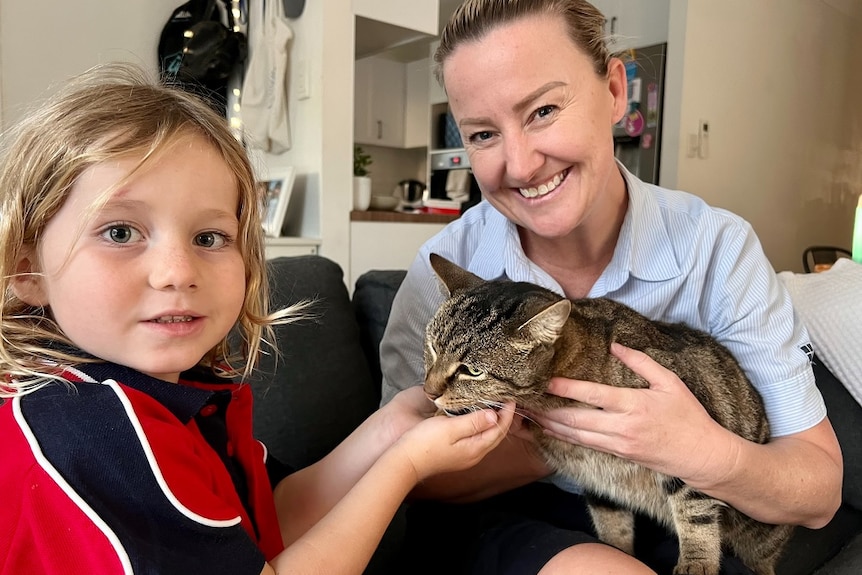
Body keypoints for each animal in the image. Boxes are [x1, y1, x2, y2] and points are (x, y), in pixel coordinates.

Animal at [422, 254, 792, 575]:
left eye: (472, 371)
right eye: (432, 349)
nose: (429, 391)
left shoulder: (688, 435)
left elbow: (694, 511)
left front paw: (696, 562)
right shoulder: (598, 483)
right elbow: (613, 527)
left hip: (758, 532)